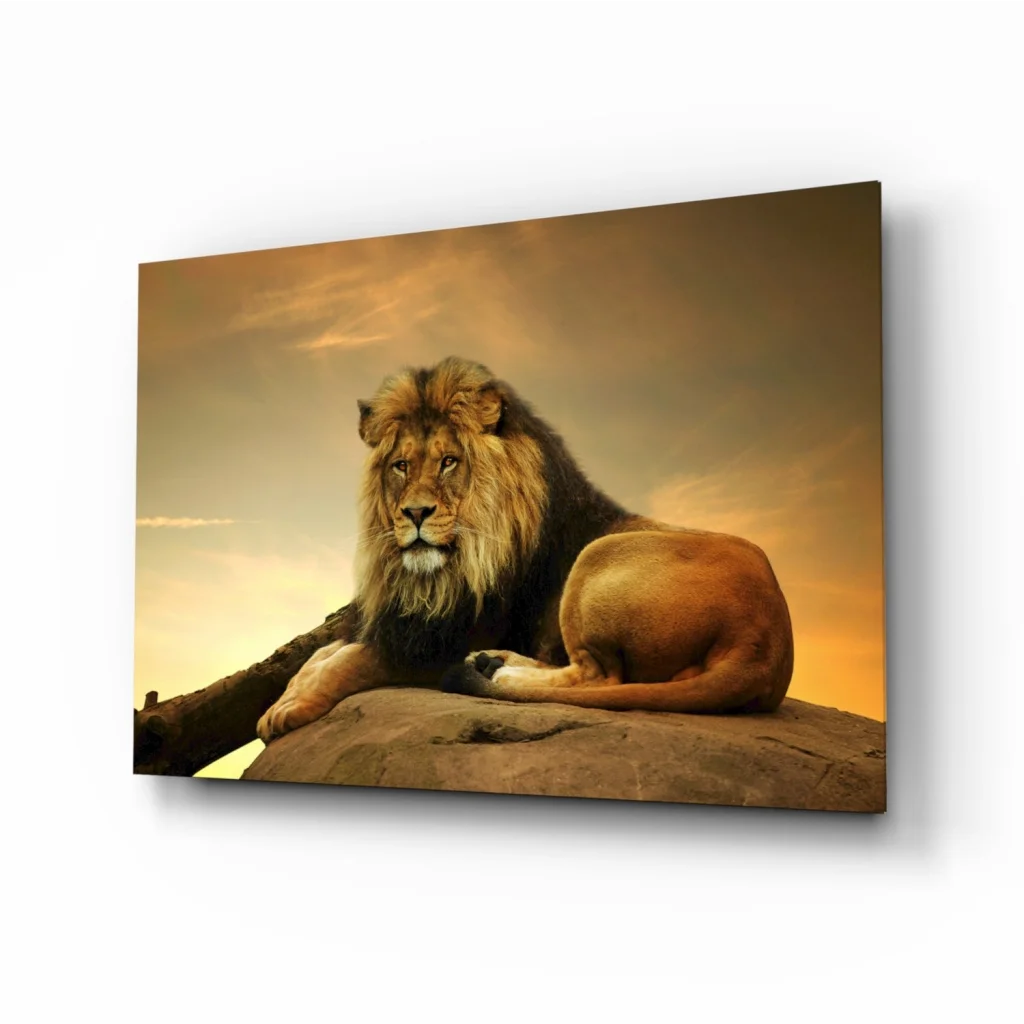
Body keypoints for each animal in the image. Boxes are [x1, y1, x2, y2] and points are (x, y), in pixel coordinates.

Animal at [256, 356, 794, 743]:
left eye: (449, 462)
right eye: (401, 466)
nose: (415, 514)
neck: (439, 574)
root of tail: (767, 641)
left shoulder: (438, 640)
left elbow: (352, 659)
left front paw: (290, 709)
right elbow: (324, 652)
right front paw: (285, 697)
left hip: (596, 559)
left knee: (601, 678)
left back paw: (497, 672)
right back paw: (493, 663)